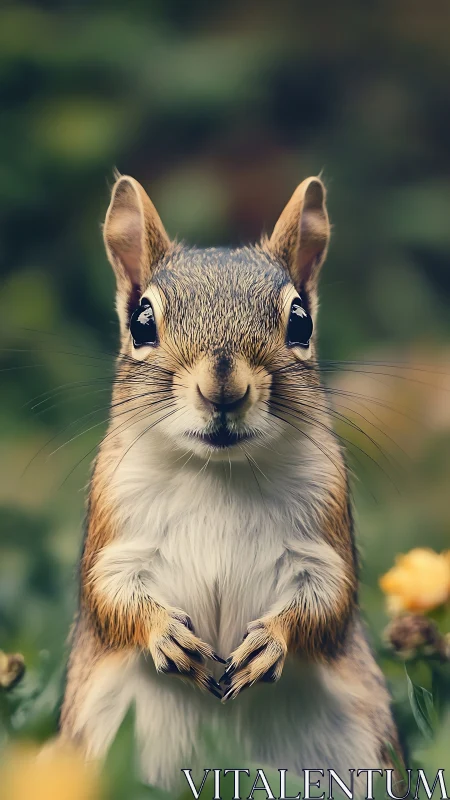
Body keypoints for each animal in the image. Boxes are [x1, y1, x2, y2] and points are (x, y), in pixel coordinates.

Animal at [60, 174, 404, 792]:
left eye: (301, 322)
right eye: (142, 322)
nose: (223, 385)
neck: (218, 471)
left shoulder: (326, 531)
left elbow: (329, 601)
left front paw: (271, 642)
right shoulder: (113, 528)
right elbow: (108, 596)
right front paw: (165, 635)